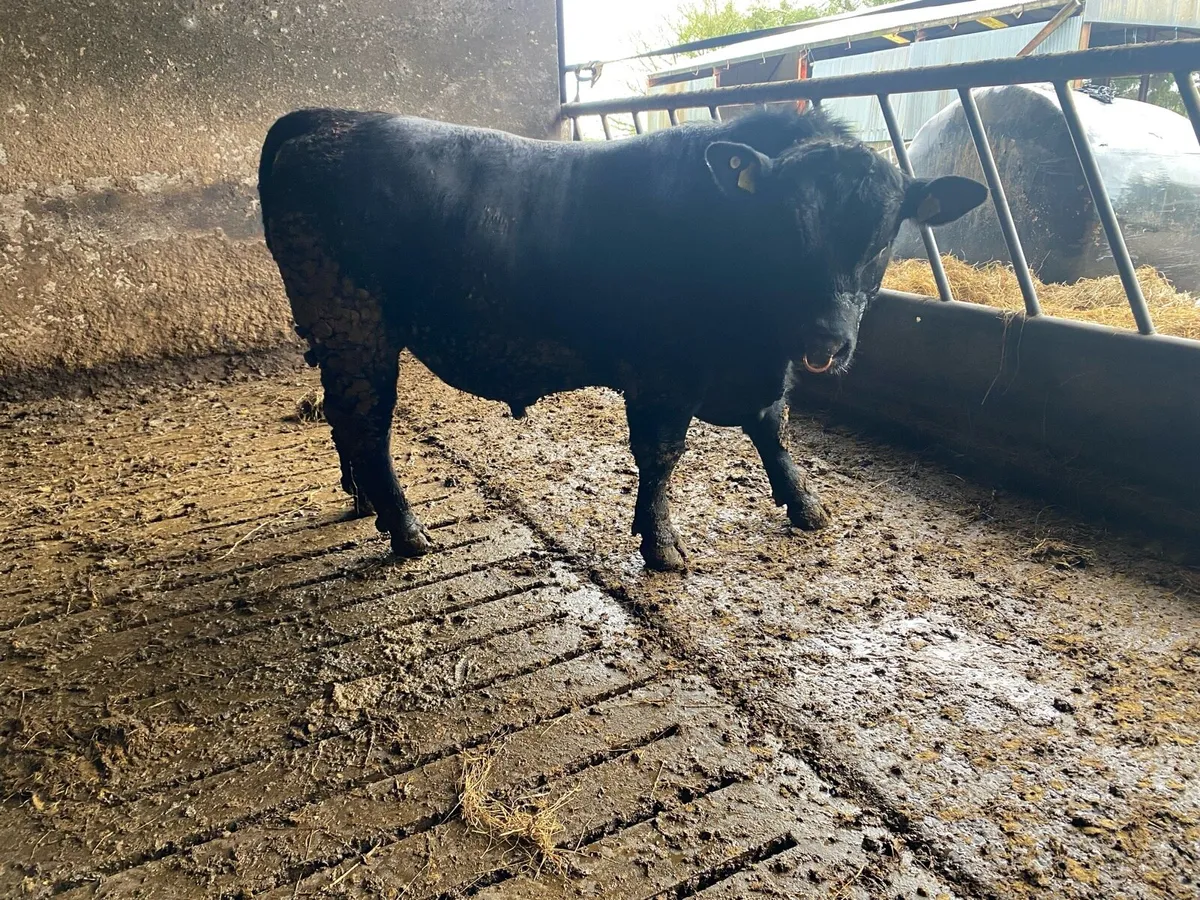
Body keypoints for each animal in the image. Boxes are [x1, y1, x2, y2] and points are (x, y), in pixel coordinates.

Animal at [258, 106, 986, 572]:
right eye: (786, 226)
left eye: (884, 236)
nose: (825, 339)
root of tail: (329, 119)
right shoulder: (664, 371)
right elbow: (662, 456)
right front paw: (662, 546)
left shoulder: (758, 371)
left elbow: (773, 428)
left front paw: (807, 506)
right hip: (359, 327)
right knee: (367, 423)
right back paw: (405, 529)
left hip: (338, 335)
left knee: (344, 419)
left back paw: (362, 504)